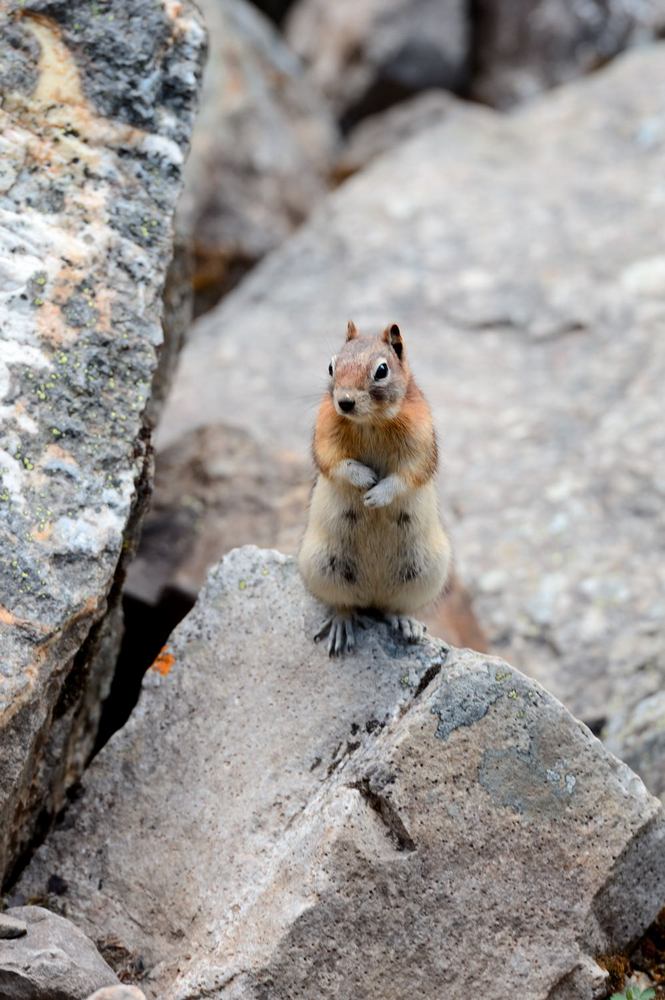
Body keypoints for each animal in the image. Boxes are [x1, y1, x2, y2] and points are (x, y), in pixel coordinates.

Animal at [300, 320, 452, 656]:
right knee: (344, 604)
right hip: (323, 565)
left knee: (392, 607)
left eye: (381, 370)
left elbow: (409, 473)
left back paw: (407, 625)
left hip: (425, 571)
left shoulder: (421, 439)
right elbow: (333, 461)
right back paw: (342, 626)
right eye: (331, 366)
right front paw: (364, 479)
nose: (344, 402)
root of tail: (372, 594)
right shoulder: (324, 431)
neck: (370, 422)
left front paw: (377, 493)